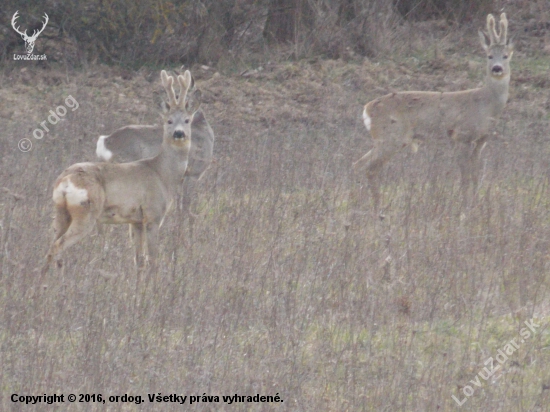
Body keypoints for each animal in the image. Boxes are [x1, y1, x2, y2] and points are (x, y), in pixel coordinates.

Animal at [42, 69, 203, 276]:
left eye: (187, 120)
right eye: (168, 121)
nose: (179, 133)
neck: (162, 174)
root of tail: (65, 181)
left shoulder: (135, 221)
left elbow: (139, 260)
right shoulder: (153, 215)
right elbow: (152, 260)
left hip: (60, 212)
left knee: (50, 245)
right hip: (85, 213)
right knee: (57, 246)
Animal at [356, 14, 516, 211]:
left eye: (505, 56)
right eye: (489, 56)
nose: (497, 68)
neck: (486, 105)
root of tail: (367, 108)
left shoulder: (481, 141)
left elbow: (476, 175)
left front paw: (477, 203)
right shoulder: (461, 135)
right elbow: (465, 175)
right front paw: (466, 206)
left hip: (387, 139)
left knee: (359, 164)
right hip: (390, 137)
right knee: (369, 167)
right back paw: (377, 207)